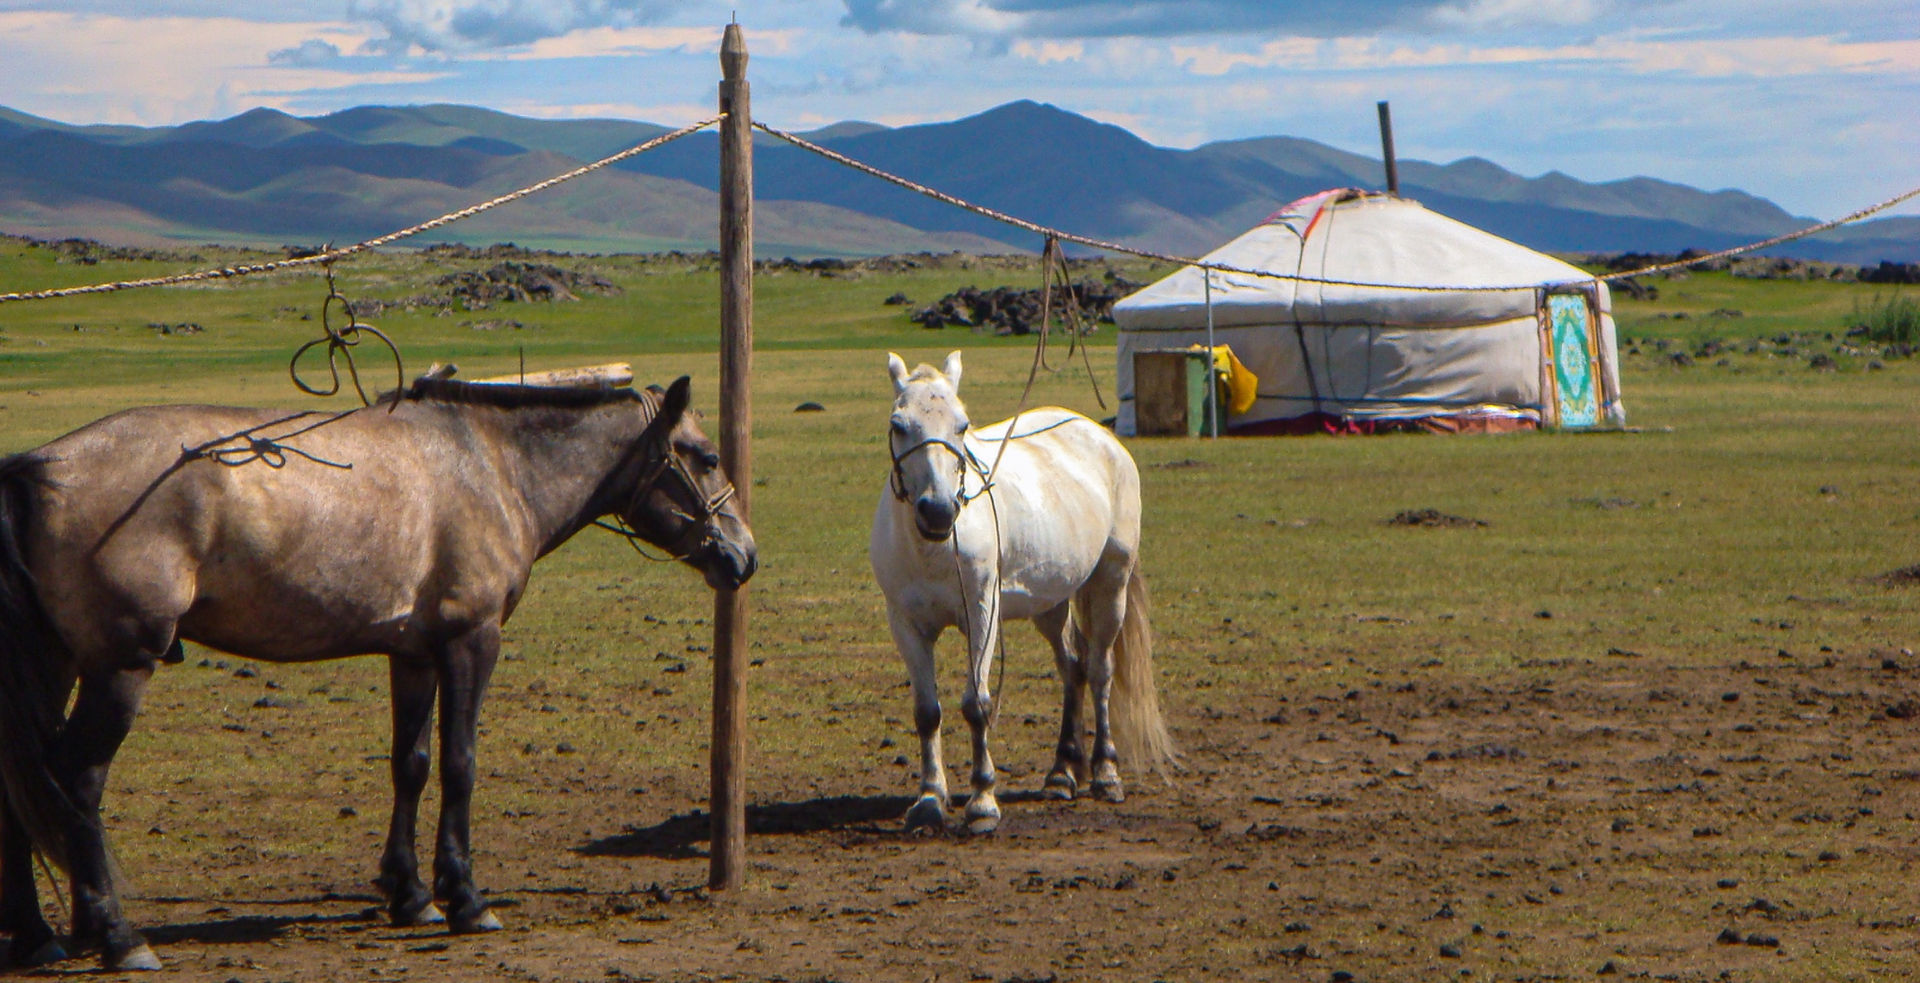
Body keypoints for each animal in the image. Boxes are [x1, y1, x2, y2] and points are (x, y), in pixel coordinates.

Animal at [0, 373, 756, 971]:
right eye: (708, 456)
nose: (744, 556)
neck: (490, 466)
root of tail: (37, 465)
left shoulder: (414, 653)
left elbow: (411, 764)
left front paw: (411, 893)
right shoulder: (472, 641)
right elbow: (459, 764)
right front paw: (465, 898)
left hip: (58, 665)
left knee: (25, 785)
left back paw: (40, 935)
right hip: (120, 669)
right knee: (78, 781)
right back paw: (117, 936)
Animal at [870, 351, 1174, 834]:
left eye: (962, 425)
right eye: (899, 424)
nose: (937, 511)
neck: (933, 548)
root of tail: (1100, 435)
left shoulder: (982, 613)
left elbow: (977, 704)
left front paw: (982, 801)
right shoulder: (906, 624)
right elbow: (927, 712)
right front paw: (930, 799)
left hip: (1111, 584)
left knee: (1101, 669)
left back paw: (1105, 773)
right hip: (1051, 602)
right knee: (1073, 667)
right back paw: (1062, 772)